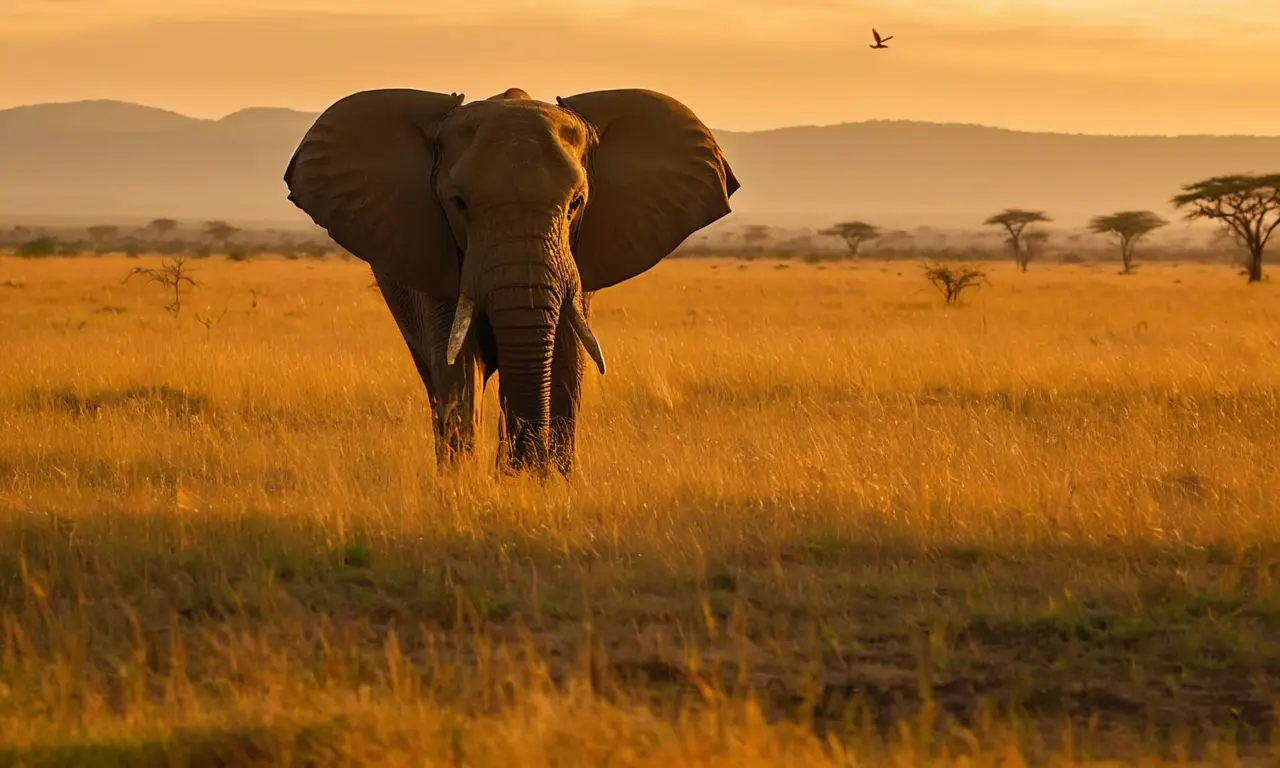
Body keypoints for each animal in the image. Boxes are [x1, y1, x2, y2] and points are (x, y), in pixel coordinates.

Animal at [282, 86, 740, 476]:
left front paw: (541, 483)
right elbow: (458, 365)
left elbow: (567, 357)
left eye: (576, 204)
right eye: (459, 204)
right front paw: (467, 485)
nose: (524, 465)